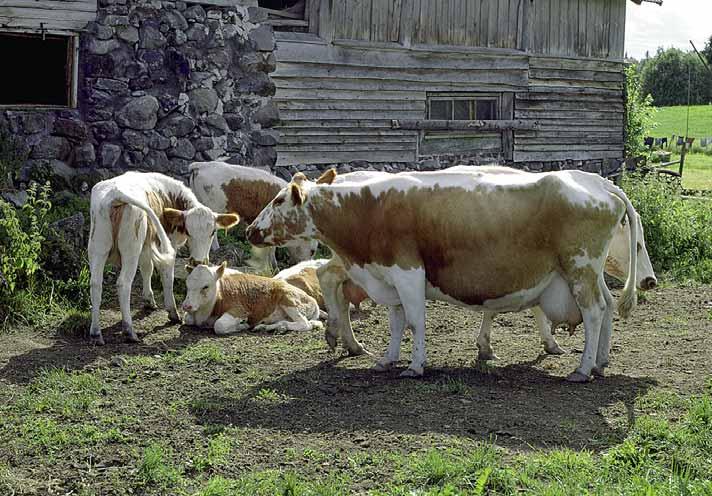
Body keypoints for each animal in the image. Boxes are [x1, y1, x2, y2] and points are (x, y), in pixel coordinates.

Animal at [88, 170, 239, 344]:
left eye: (212, 232)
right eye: (188, 231)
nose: (199, 261)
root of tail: (116, 194)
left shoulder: (147, 244)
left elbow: (147, 268)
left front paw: (149, 301)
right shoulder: (165, 244)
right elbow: (166, 276)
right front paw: (172, 312)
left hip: (98, 246)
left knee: (95, 284)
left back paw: (96, 332)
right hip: (131, 249)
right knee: (123, 284)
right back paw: (129, 331)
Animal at [182, 260, 322, 334]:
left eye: (205, 286)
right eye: (187, 284)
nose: (186, 306)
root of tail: (312, 300)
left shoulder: (240, 310)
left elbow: (219, 325)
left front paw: (242, 326)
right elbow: (187, 319)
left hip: (289, 300)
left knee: (305, 324)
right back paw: (267, 327)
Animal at [246, 169, 640, 382]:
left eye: (279, 200)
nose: (250, 229)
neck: (368, 209)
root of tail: (600, 183)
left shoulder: (408, 271)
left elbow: (415, 321)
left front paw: (415, 366)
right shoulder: (388, 276)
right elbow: (396, 321)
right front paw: (388, 360)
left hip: (580, 268)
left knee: (594, 312)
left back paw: (583, 368)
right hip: (589, 273)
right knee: (606, 307)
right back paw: (600, 363)